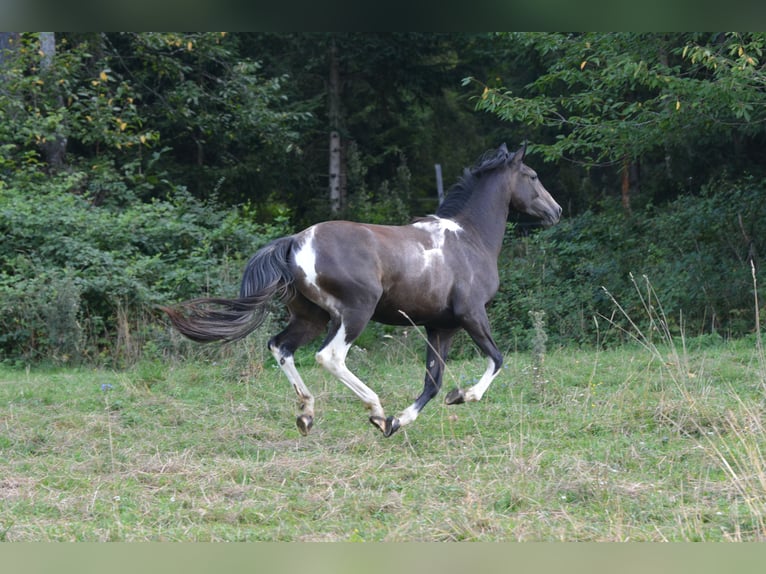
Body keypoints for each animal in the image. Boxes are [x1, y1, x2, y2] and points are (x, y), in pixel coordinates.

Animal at [161, 143, 561, 437]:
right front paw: (461, 396)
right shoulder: (471, 314)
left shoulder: (440, 325)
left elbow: (432, 382)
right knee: (330, 356)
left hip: (311, 317)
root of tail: (295, 241)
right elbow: (496, 358)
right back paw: (375, 410)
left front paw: (400, 421)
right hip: (356, 312)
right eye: (533, 176)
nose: (556, 211)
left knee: (281, 347)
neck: (470, 239)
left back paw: (307, 414)